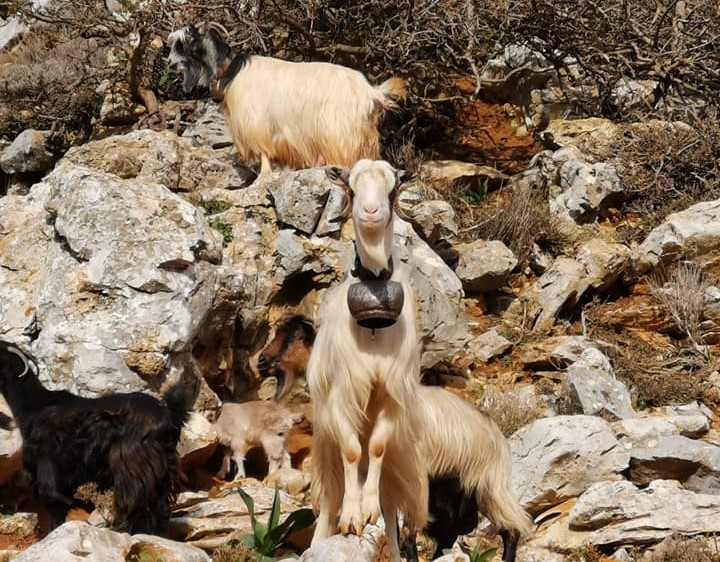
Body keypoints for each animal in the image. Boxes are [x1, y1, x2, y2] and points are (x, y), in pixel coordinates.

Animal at [0, 340, 193, 532]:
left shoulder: (47, 464)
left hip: (132, 466)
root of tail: (169, 415)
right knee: (159, 507)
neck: (34, 406)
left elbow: (54, 504)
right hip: (165, 469)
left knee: (135, 501)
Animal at [165, 23, 408, 175]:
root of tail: (370, 92)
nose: (170, 64)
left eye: (187, 45)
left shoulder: (255, 123)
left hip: (340, 132)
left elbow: (263, 152)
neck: (234, 71)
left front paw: (262, 177)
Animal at [306, 159, 428, 560]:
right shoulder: (343, 395)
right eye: (352, 187)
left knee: (389, 510)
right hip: (324, 445)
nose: (371, 211)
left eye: (393, 187)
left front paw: (367, 508)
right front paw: (351, 516)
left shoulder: (391, 393)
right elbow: (350, 450)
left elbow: (374, 447)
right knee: (330, 495)